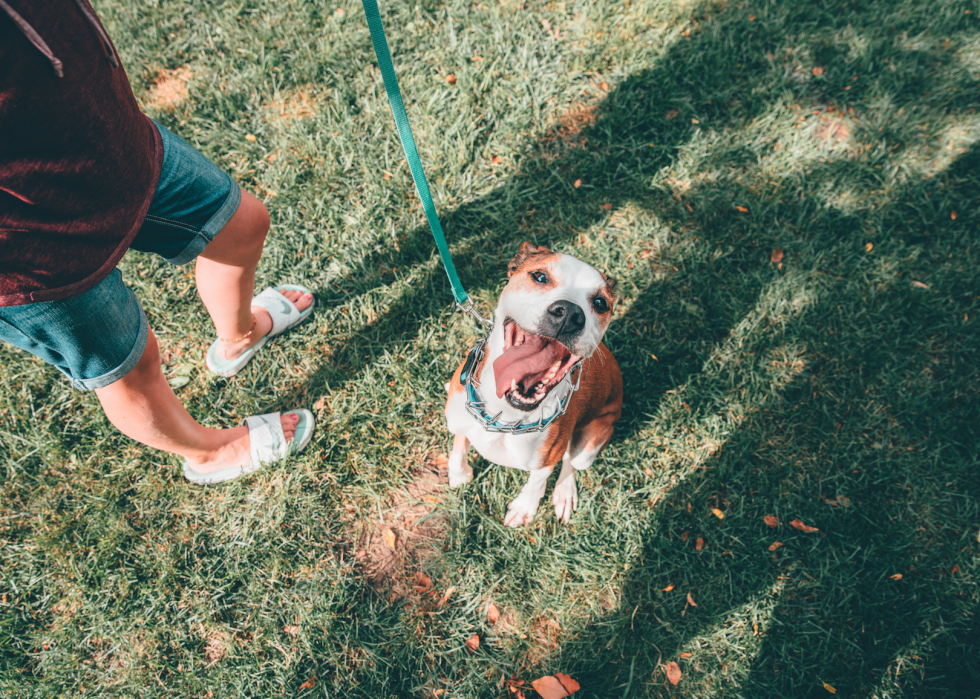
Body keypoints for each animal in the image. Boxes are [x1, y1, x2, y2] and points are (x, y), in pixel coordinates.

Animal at [442, 243, 620, 528]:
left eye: (600, 303)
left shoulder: (546, 460)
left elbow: (537, 482)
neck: (503, 415)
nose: (569, 314)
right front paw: (459, 473)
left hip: (590, 444)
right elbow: (459, 443)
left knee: (571, 461)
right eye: (540, 276)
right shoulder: (462, 418)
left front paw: (525, 507)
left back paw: (564, 493)